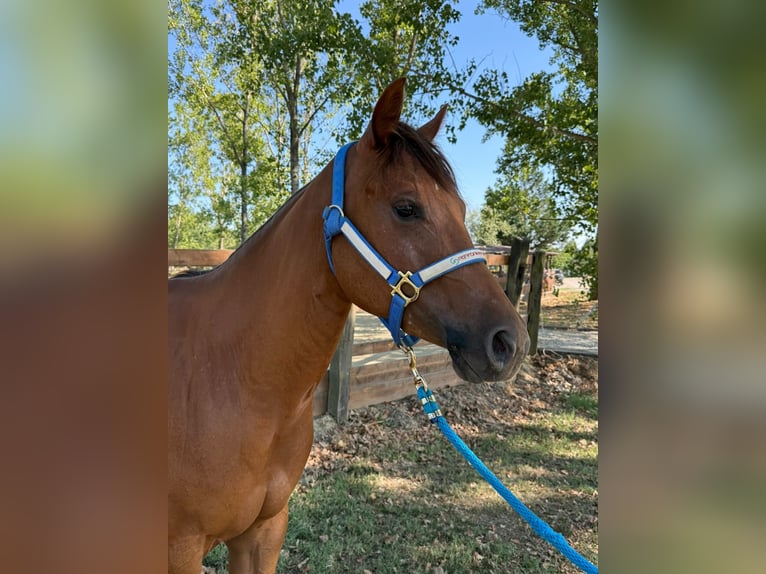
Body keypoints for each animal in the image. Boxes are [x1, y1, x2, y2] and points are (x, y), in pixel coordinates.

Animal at [168, 77, 529, 574]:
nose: (509, 342)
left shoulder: (263, 531)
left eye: (459, 208)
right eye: (406, 207)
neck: (232, 378)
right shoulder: (180, 549)